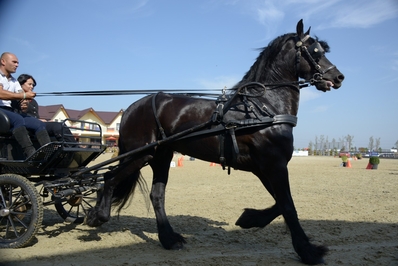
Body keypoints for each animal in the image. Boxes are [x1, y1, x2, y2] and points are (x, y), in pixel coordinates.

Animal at [87, 20, 346, 264]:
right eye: (315, 51)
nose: (338, 77)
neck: (263, 107)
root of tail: (132, 107)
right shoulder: (274, 165)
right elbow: (288, 206)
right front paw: (309, 251)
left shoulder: (265, 167)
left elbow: (280, 204)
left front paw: (249, 218)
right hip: (139, 154)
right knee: (109, 178)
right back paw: (98, 216)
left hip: (161, 156)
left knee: (156, 195)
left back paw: (169, 239)